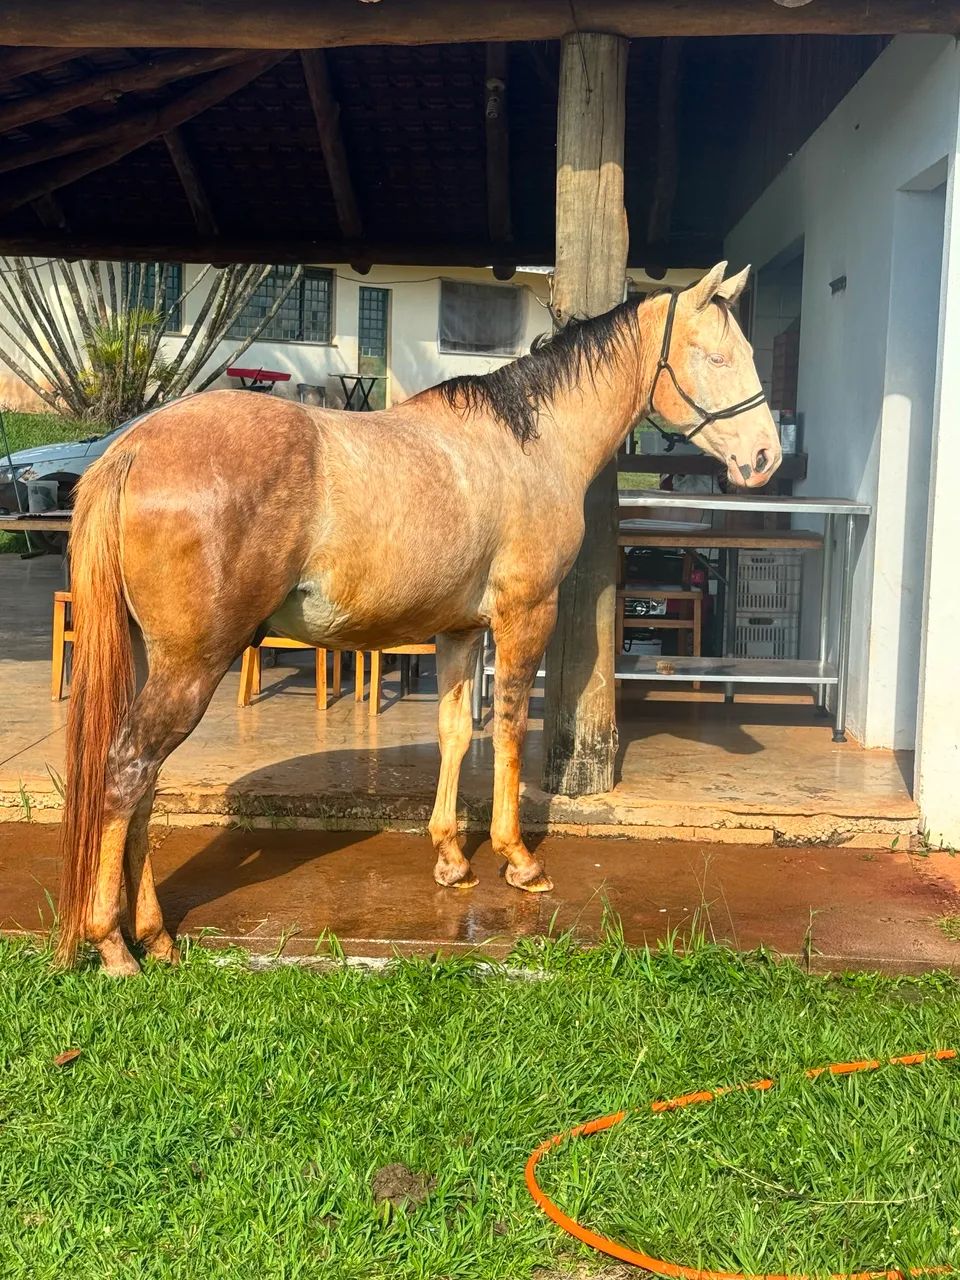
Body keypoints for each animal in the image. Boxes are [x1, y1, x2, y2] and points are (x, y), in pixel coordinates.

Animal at [57, 260, 781, 975]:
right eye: (715, 355)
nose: (766, 459)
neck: (530, 444)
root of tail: (134, 446)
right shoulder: (524, 616)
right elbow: (509, 730)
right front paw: (518, 860)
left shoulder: (460, 631)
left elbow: (456, 733)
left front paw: (452, 859)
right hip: (192, 666)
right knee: (127, 774)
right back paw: (113, 944)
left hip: (159, 661)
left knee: (144, 787)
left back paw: (154, 937)